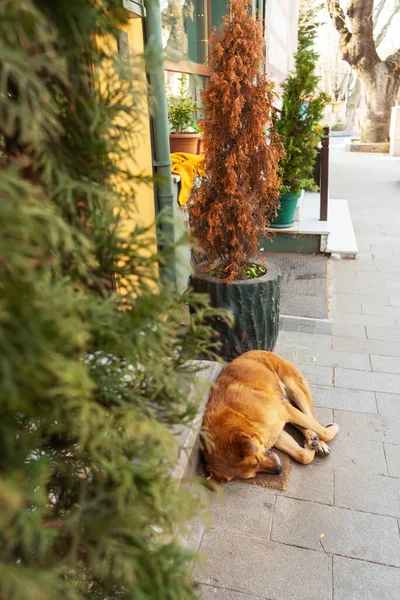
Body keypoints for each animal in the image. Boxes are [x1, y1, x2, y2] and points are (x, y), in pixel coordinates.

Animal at [202, 352, 340, 482]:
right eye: (253, 474)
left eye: (257, 460)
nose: (279, 470)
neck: (242, 417)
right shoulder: (275, 432)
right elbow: (303, 456)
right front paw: (307, 448)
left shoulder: (285, 411)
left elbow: (325, 432)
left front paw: (329, 431)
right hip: (285, 404)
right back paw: (312, 438)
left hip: (294, 388)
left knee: (311, 417)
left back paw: (320, 443)